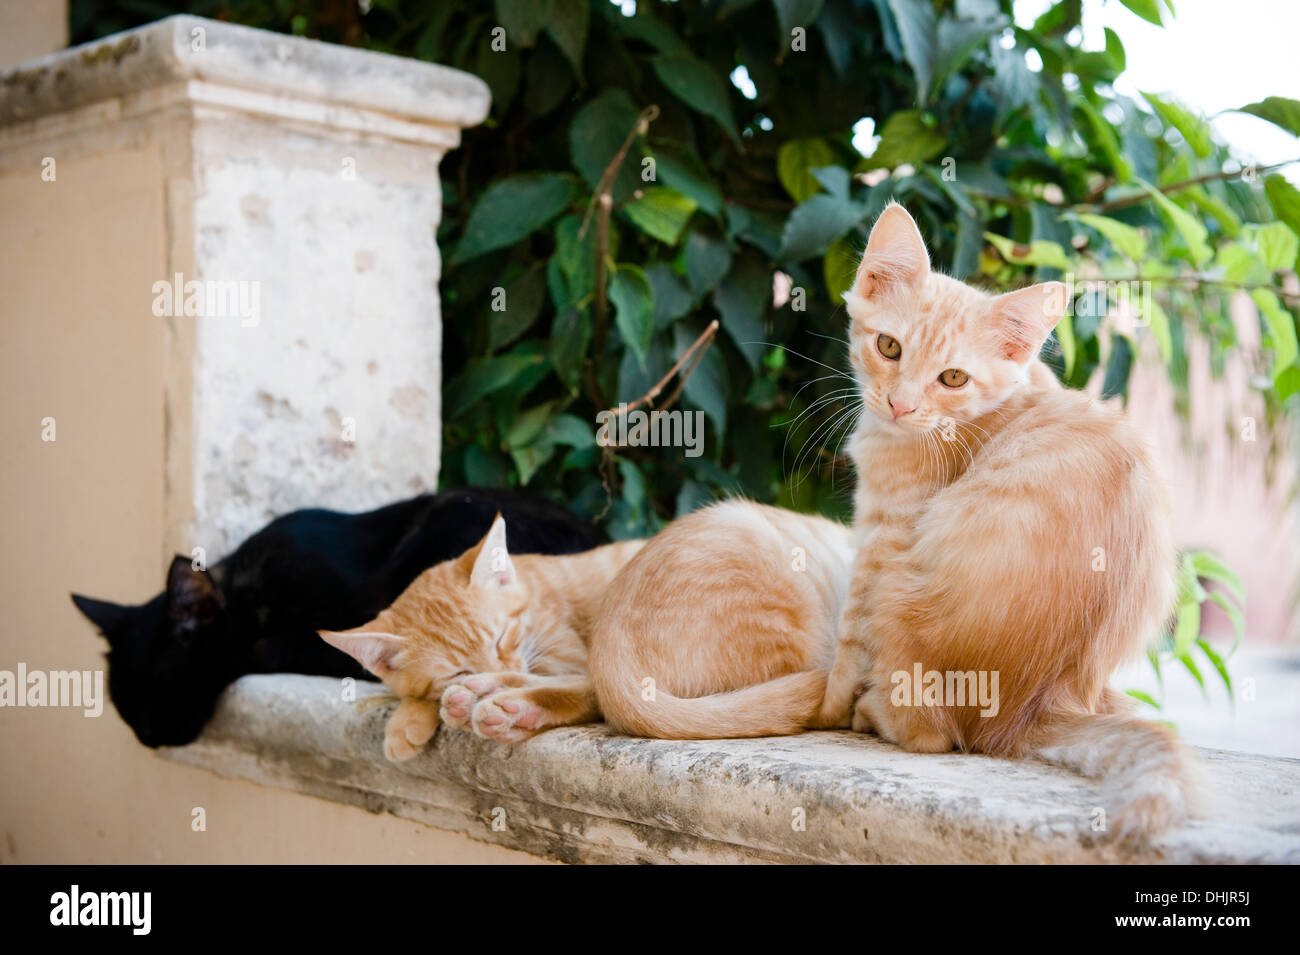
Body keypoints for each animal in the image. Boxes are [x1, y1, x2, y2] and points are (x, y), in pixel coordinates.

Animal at [314, 514, 639, 764]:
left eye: (502, 638)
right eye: (458, 671)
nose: (497, 670)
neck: (530, 586)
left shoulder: (568, 655)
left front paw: (407, 721)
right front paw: (411, 713)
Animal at [816, 203, 1190, 841]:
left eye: (952, 378)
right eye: (889, 347)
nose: (900, 405)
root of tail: (1032, 704)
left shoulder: (884, 539)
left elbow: (849, 637)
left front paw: (826, 707)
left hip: (899, 589)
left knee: (931, 734)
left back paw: (873, 713)